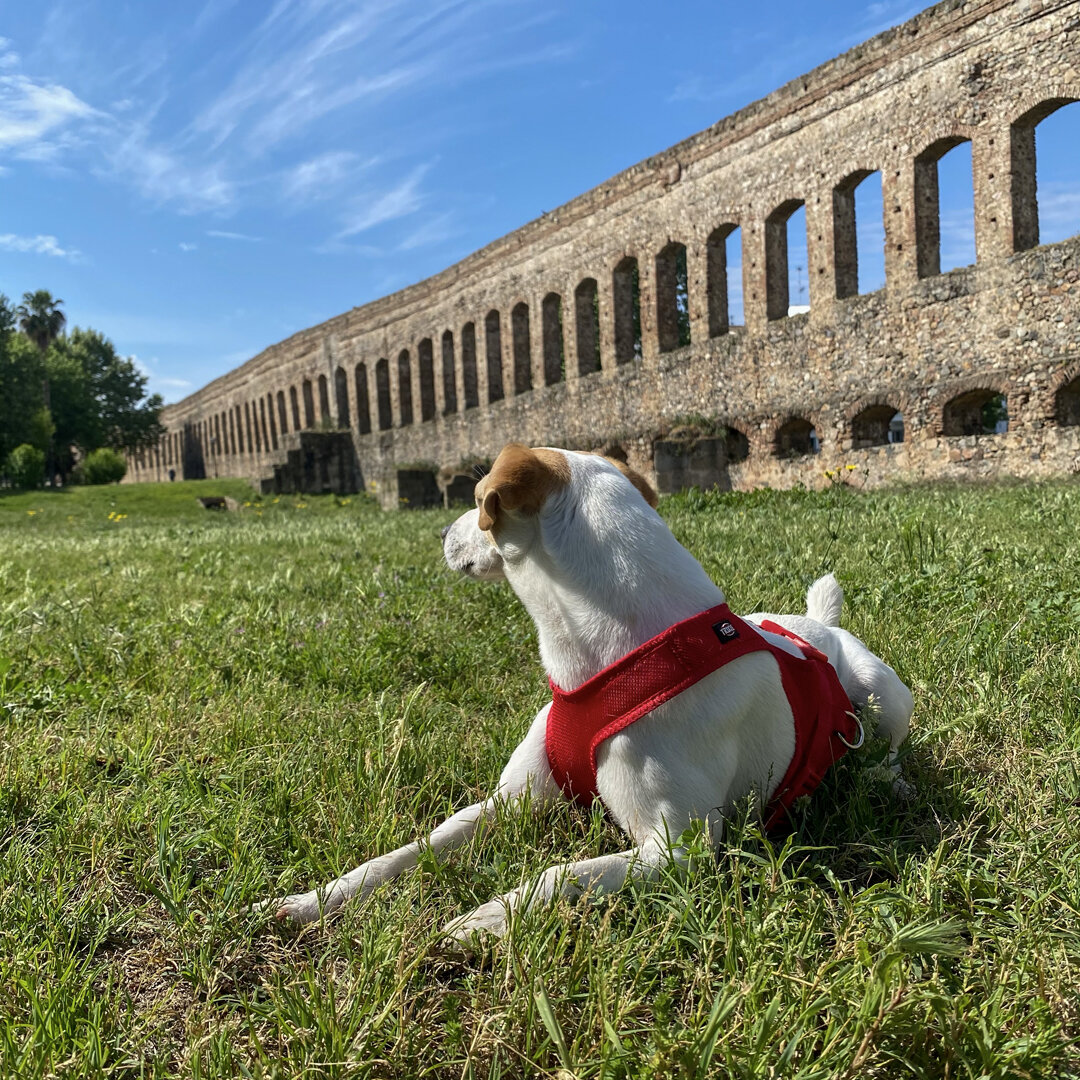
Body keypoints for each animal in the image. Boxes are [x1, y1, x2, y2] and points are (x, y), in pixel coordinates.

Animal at [261, 442, 911, 941]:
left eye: (477, 500)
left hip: (885, 693)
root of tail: (817, 624)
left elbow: (561, 876)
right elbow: (411, 849)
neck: (612, 660)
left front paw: (483, 919)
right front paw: (316, 898)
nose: (441, 531)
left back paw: (886, 777)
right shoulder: (508, 800)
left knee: (892, 743)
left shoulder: (677, 850)